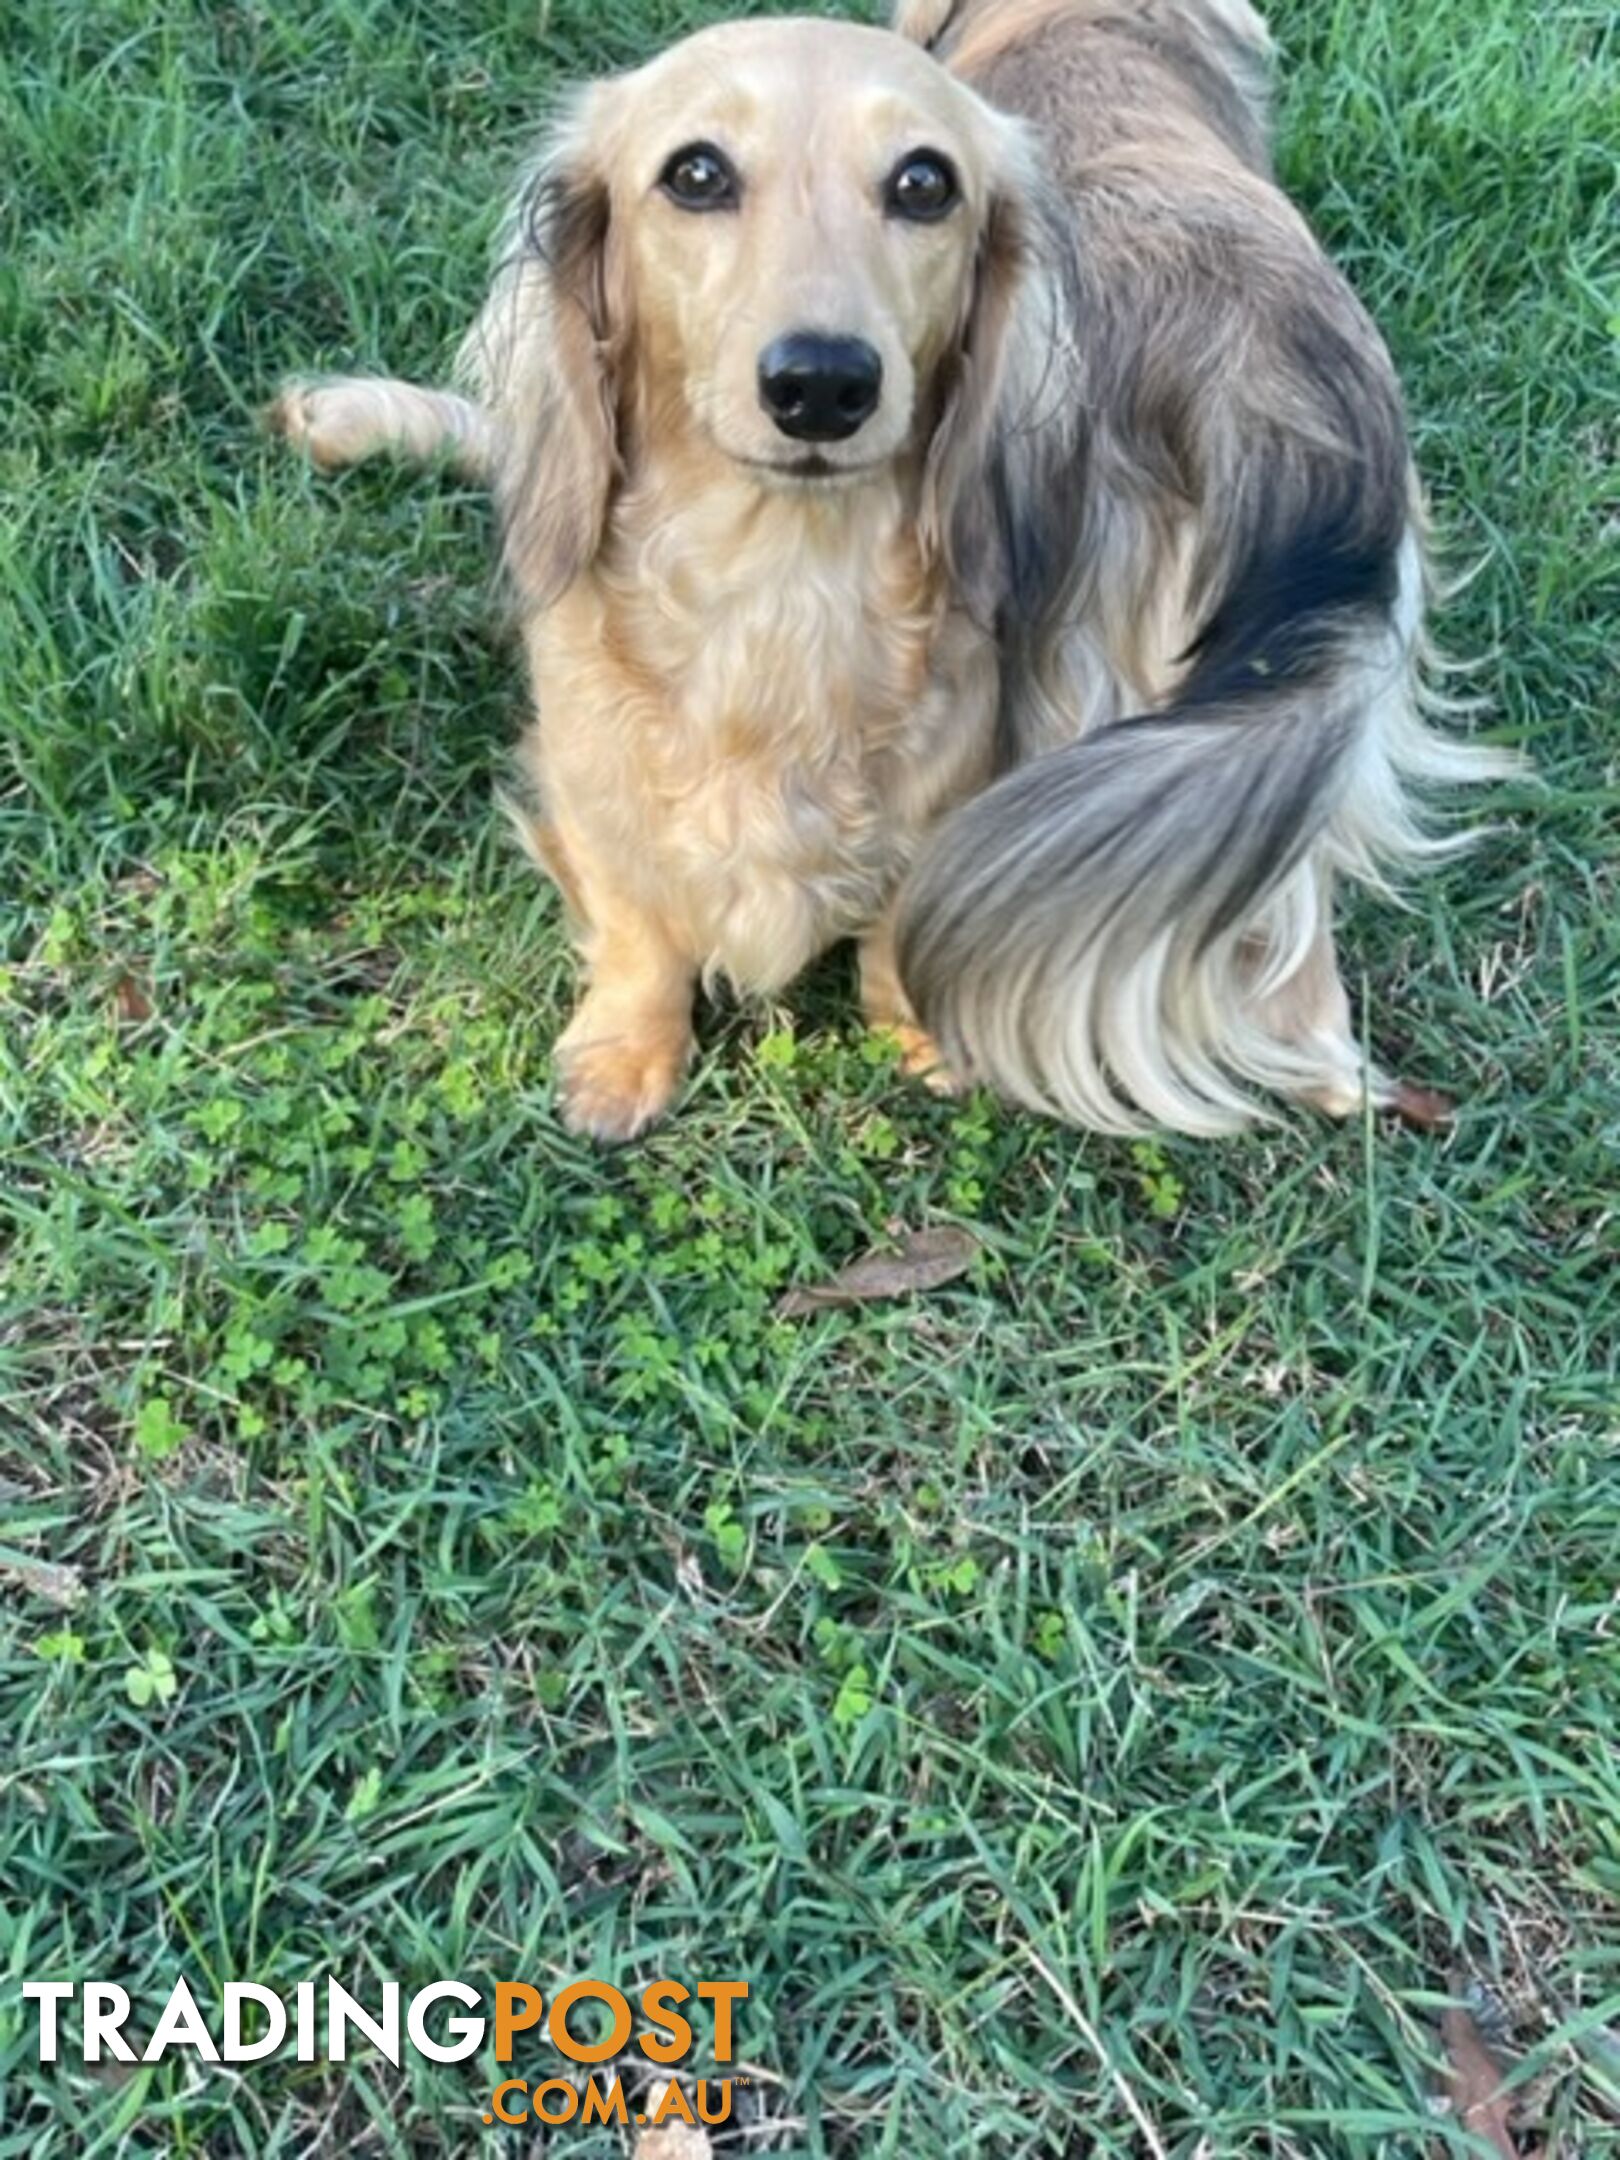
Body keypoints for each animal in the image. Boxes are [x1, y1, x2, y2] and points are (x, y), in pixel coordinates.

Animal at [273, 0, 1520, 1140]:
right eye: (695, 173)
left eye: (925, 184)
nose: (823, 383)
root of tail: (1262, 391)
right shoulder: (593, 771)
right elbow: (640, 926)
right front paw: (625, 1054)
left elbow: (894, 920)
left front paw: (915, 1036)